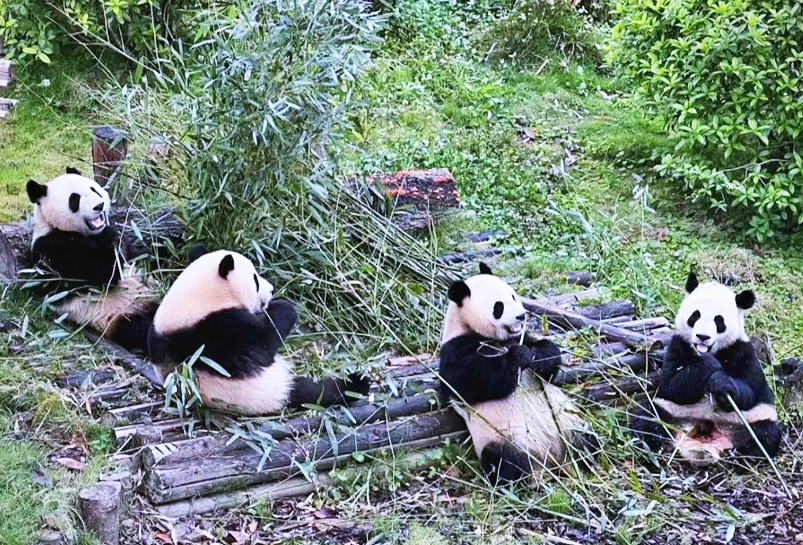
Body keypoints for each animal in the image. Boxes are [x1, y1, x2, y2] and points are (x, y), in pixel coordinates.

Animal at [26, 167, 158, 351]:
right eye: (74, 199)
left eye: (93, 189)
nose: (99, 206)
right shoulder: (50, 252)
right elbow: (99, 275)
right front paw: (110, 239)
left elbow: (135, 255)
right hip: (121, 315)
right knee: (147, 329)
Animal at [147, 248, 371, 415]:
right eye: (254, 279)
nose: (271, 289)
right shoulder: (213, 333)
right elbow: (261, 344)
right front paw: (285, 307)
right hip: (273, 389)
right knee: (315, 392)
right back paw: (356, 385)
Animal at [438, 263, 595, 484]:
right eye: (499, 306)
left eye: (513, 296)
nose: (522, 315)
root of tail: (553, 459)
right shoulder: (455, 350)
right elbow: (473, 382)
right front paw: (517, 357)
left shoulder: (523, 336)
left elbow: (547, 368)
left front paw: (540, 357)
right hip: (504, 438)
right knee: (504, 461)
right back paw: (527, 480)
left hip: (569, 421)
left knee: (586, 436)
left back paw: (589, 460)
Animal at [630, 273, 781, 464]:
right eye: (695, 315)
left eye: (719, 320)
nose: (702, 337)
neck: (711, 351)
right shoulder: (678, 345)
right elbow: (671, 385)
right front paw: (708, 365)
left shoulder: (743, 350)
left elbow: (749, 391)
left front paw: (720, 382)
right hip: (669, 412)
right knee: (646, 419)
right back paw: (655, 448)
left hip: (750, 420)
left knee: (766, 434)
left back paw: (742, 455)